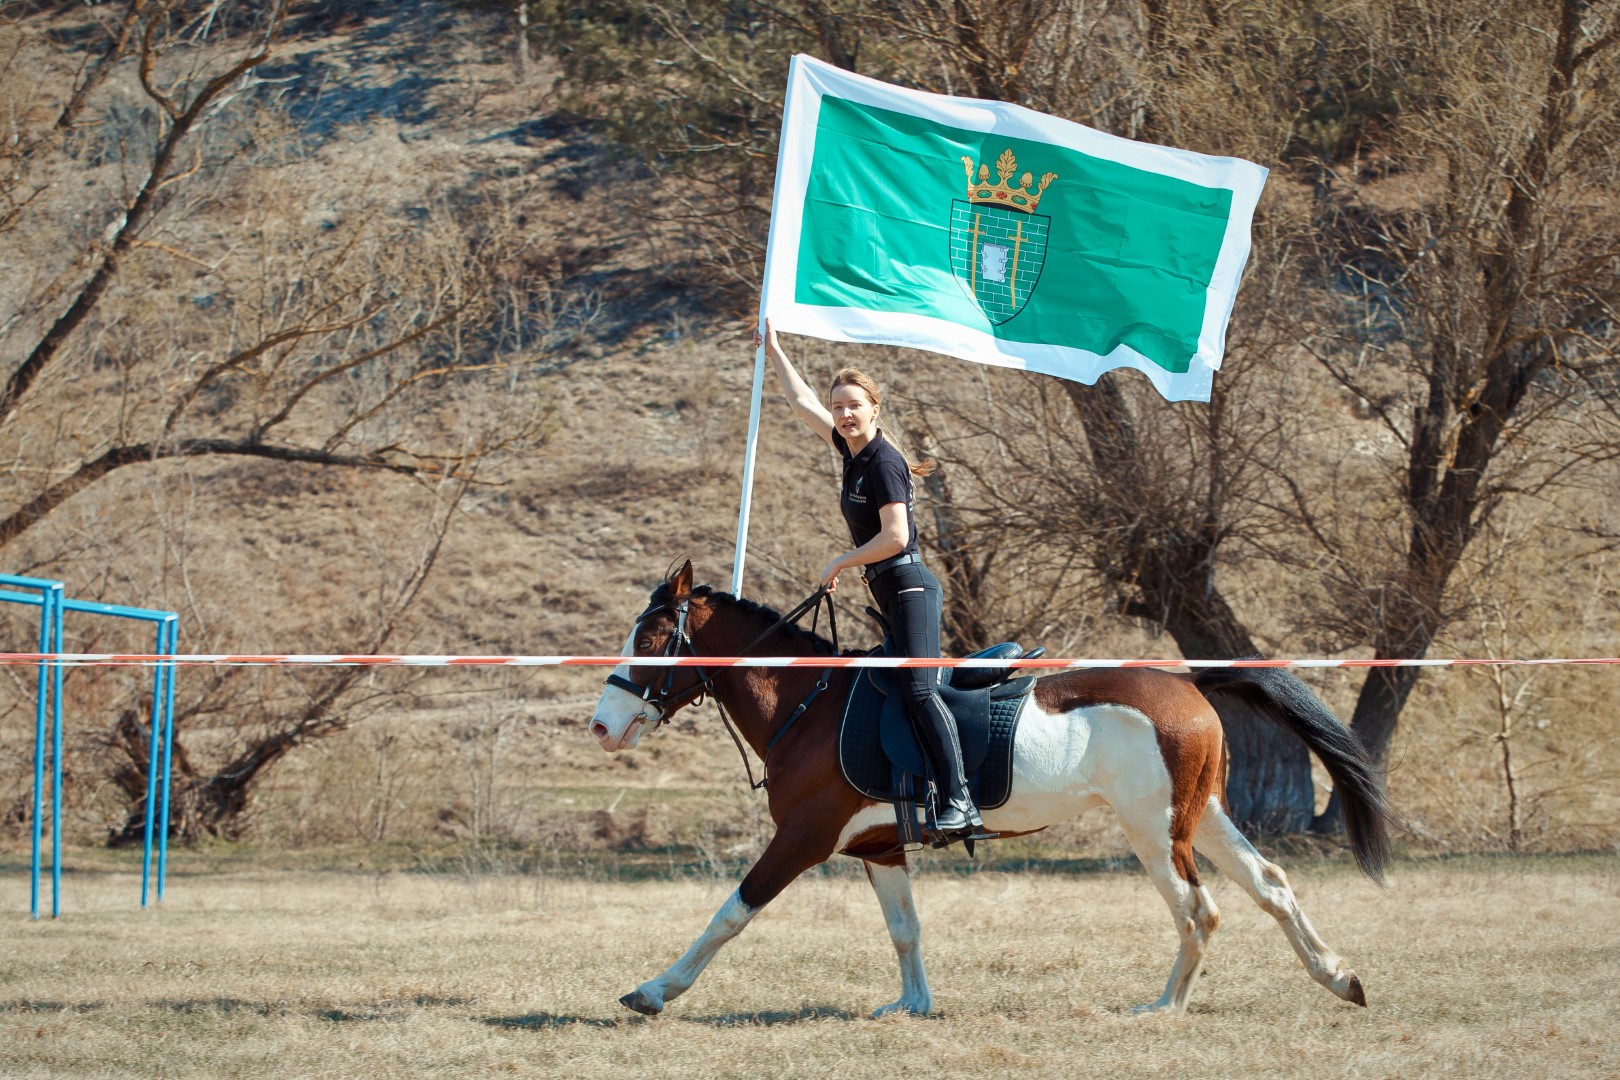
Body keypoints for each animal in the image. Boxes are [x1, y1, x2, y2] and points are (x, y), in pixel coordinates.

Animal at [589, 561, 1394, 1018]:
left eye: (652, 640)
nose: (602, 725)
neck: (808, 702)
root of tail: (1187, 682)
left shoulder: (803, 838)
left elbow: (729, 914)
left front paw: (654, 991)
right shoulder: (877, 849)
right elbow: (905, 929)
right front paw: (913, 1005)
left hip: (1153, 829)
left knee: (1199, 910)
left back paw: (1163, 1007)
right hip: (1203, 816)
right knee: (1271, 884)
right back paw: (1338, 977)